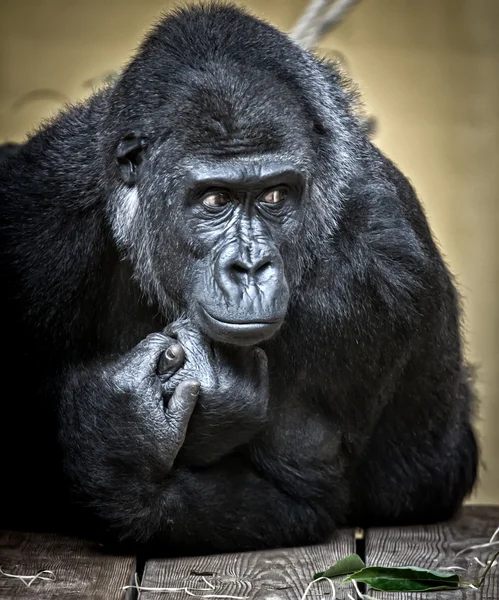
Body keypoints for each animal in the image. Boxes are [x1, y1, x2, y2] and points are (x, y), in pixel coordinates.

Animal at [0, 3, 478, 552]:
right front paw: (122, 428)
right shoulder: (34, 216)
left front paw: (118, 447)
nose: (249, 266)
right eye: (215, 199)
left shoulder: (378, 273)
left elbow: (300, 489)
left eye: (274, 195)